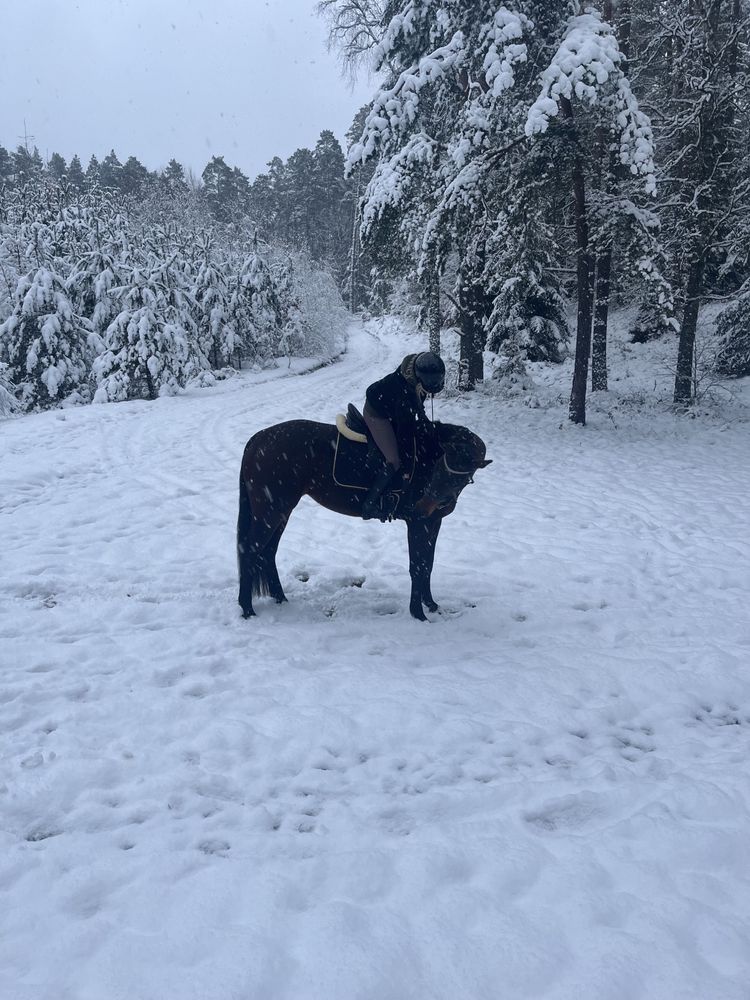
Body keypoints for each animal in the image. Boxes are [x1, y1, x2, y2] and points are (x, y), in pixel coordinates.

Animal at [236, 412, 494, 616]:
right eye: (439, 469)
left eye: (456, 477)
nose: (422, 505)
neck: (424, 455)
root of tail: (258, 439)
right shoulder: (417, 523)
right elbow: (417, 566)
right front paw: (417, 613)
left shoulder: (433, 521)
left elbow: (427, 564)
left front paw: (430, 604)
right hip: (270, 512)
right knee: (250, 550)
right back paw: (247, 609)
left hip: (280, 512)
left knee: (268, 552)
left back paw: (280, 598)